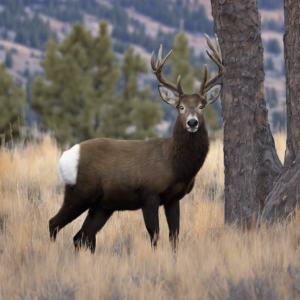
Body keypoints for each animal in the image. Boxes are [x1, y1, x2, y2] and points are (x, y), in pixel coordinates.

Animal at [48, 34, 223, 252]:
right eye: (180, 107)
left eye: (201, 106)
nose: (192, 122)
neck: (174, 164)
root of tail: (64, 157)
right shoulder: (149, 194)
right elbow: (154, 236)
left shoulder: (173, 198)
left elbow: (174, 236)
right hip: (78, 193)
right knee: (54, 224)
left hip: (102, 205)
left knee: (82, 236)